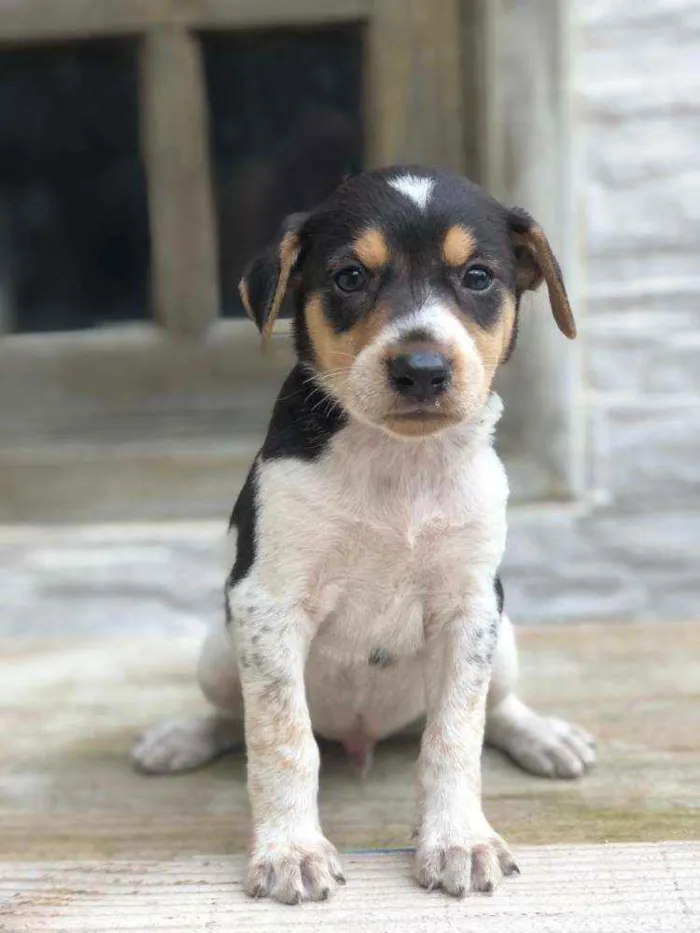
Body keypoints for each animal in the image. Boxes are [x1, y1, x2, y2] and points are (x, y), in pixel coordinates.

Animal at [134, 167, 592, 904]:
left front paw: (458, 839)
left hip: (506, 638)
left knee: (498, 706)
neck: (398, 462)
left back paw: (546, 736)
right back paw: (179, 738)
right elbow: (281, 738)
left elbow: (456, 735)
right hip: (217, 648)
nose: (422, 369)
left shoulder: (471, 608)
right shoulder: (267, 605)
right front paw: (291, 851)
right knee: (232, 715)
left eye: (478, 276)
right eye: (350, 276)